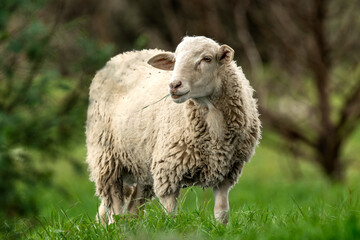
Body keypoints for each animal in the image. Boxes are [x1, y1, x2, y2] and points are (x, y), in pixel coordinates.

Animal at [87, 36, 262, 225]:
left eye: (207, 58)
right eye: (175, 60)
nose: (174, 85)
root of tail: (123, 55)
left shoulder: (225, 173)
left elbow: (222, 213)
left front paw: (220, 229)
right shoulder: (168, 170)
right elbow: (170, 216)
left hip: (142, 163)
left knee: (132, 207)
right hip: (106, 157)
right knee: (115, 205)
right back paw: (114, 225)